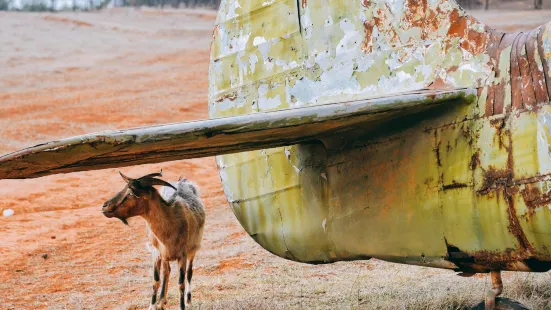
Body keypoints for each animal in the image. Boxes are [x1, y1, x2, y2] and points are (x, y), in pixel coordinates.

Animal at [102, 171, 205, 308]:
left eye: (130, 193)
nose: (104, 206)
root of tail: (183, 182)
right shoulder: (156, 253)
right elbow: (156, 280)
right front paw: (153, 305)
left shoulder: (182, 255)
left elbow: (181, 283)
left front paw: (182, 306)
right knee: (166, 271)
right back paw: (161, 301)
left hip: (193, 249)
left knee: (189, 273)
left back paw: (188, 301)